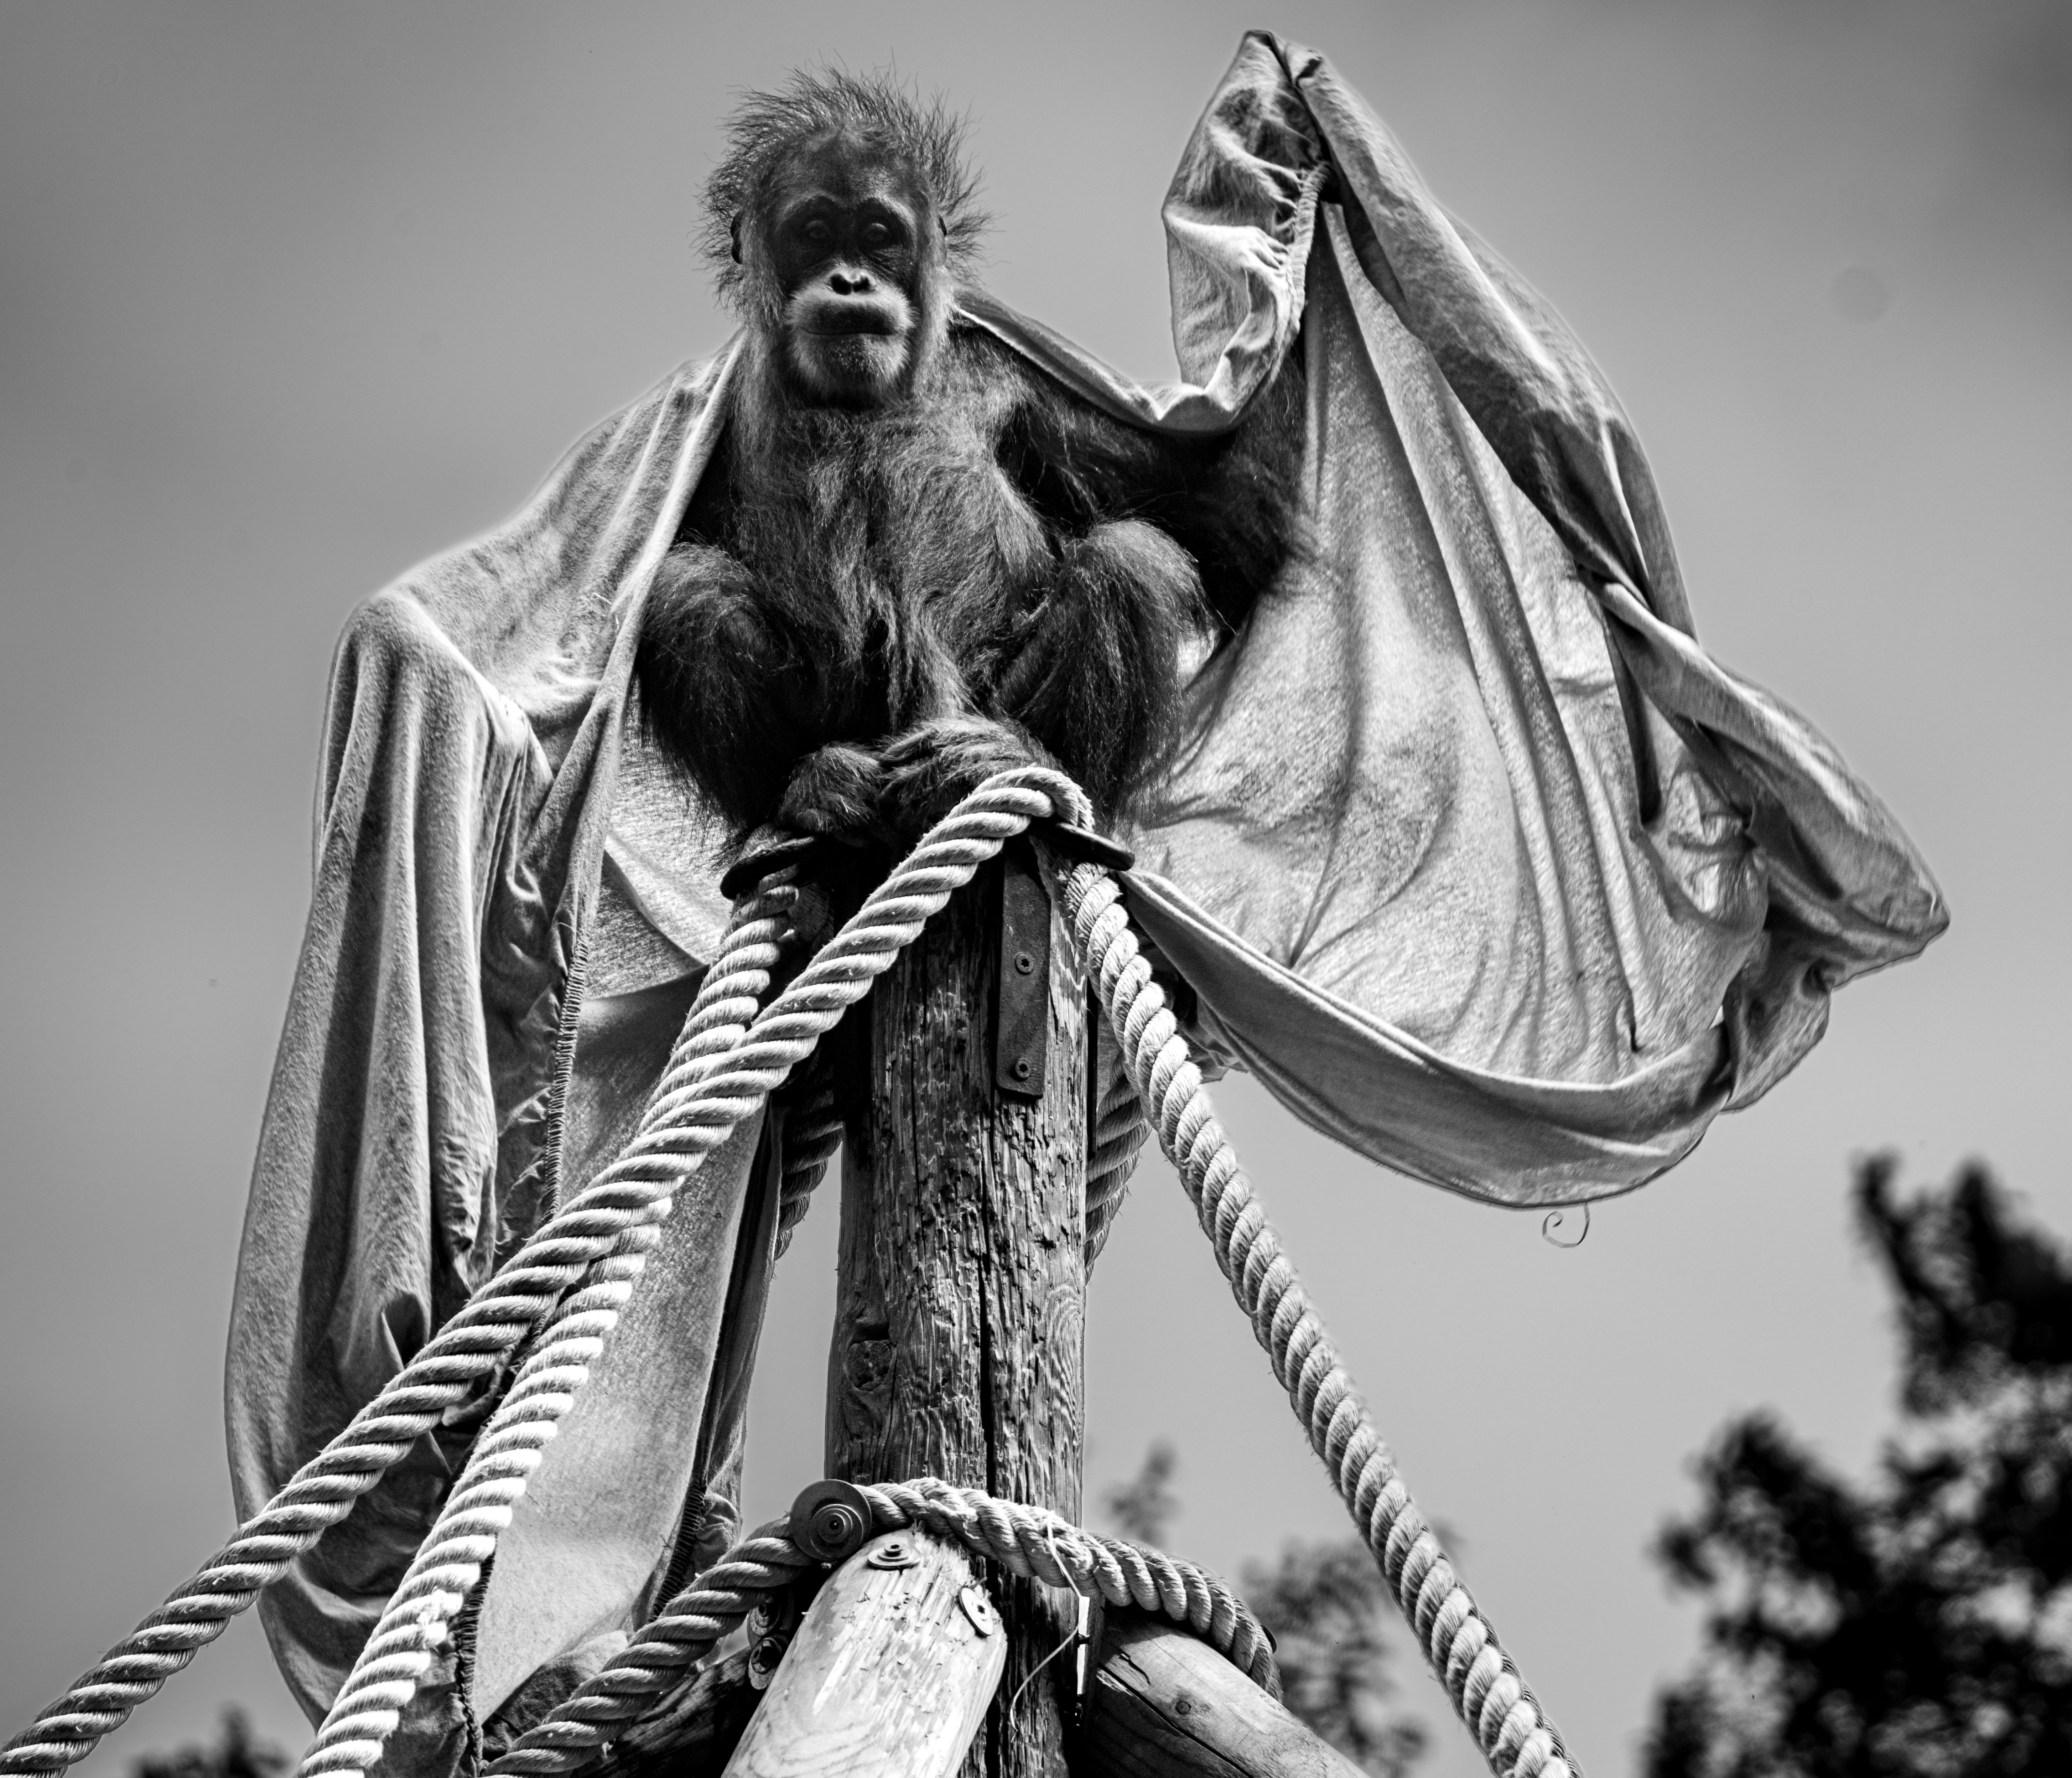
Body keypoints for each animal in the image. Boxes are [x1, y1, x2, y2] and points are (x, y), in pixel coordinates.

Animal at [634, 70, 1306, 874]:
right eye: (815, 233)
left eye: (878, 235)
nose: (850, 281)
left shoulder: (1030, 378)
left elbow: (1224, 516)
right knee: (687, 592)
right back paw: (806, 791)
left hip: (977, 709)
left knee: (1129, 559)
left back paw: (1009, 759)